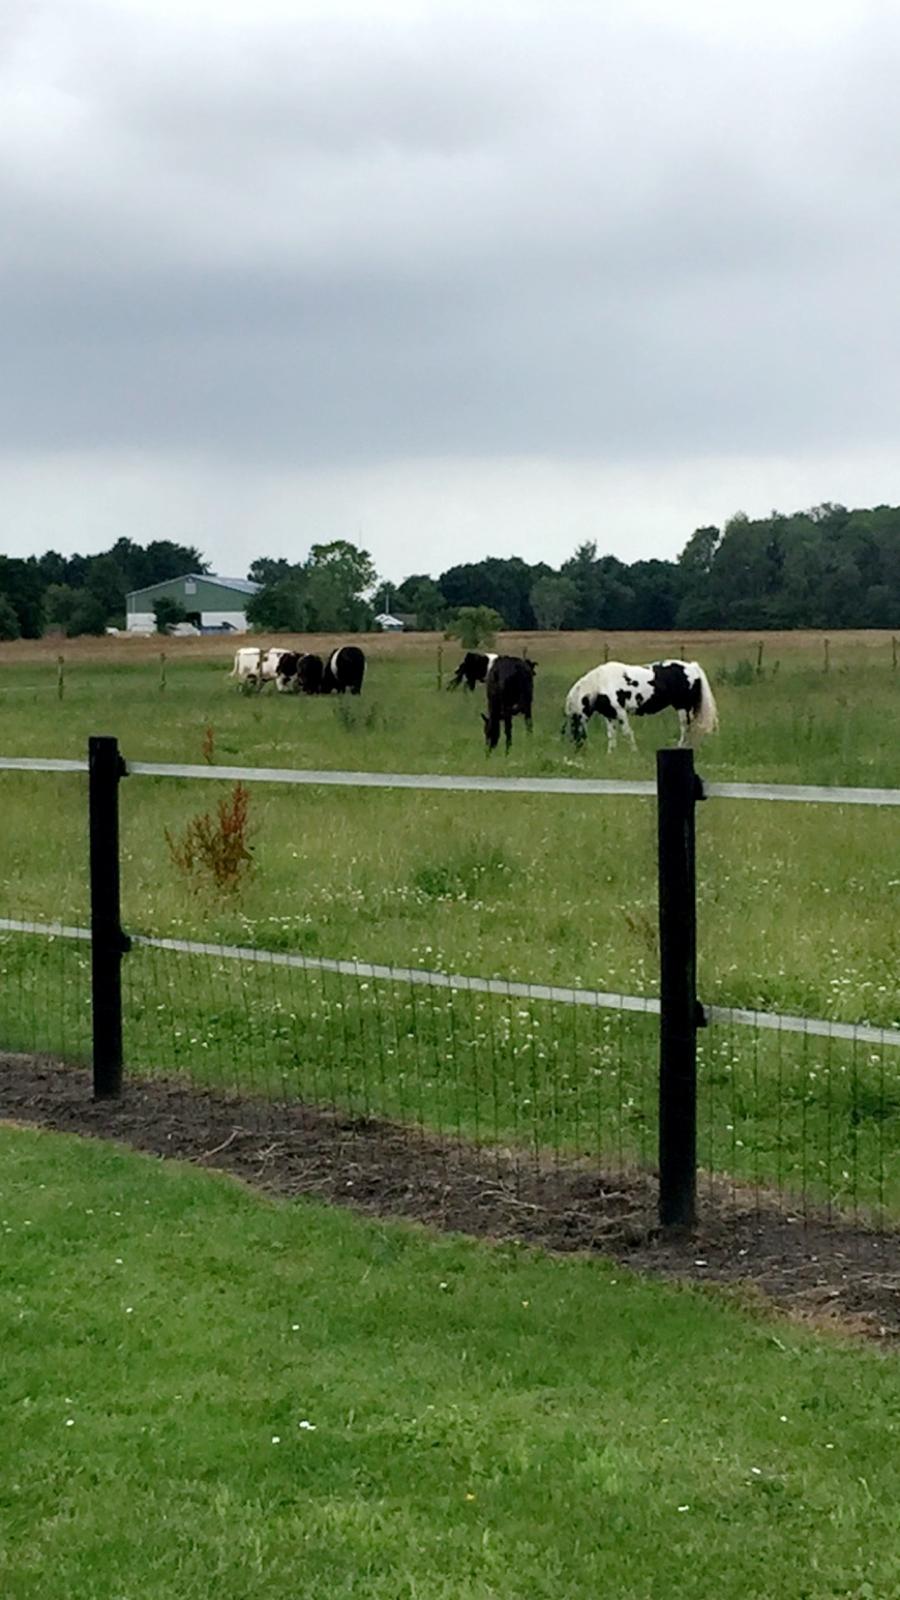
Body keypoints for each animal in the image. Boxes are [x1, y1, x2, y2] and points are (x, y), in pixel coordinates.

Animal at [563, 659, 717, 752]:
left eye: (574, 723)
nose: (578, 749)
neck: (600, 683)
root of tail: (692, 667)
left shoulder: (620, 712)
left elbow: (627, 732)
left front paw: (634, 752)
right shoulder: (610, 715)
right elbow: (611, 735)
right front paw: (611, 754)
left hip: (683, 708)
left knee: (686, 729)